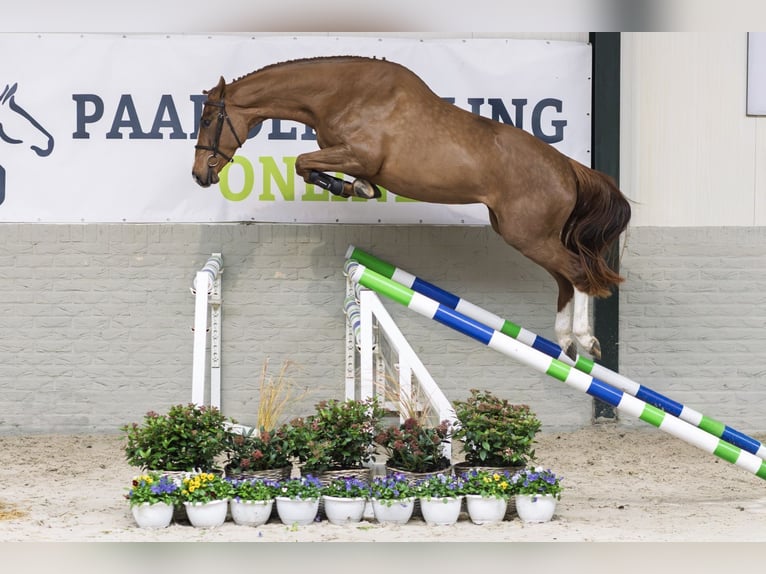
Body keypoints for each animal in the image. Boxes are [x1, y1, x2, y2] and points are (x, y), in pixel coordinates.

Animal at [190, 55, 632, 360]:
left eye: (209, 119)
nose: (199, 175)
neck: (342, 95)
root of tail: (569, 168)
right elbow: (314, 167)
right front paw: (359, 188)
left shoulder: (358, 154)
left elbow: (303, 163)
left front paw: (346, 186)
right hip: (529, 235)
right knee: (565, 280)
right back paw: (564, 341)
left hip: (527, 235)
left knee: (577, 273)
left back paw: (585, 340)